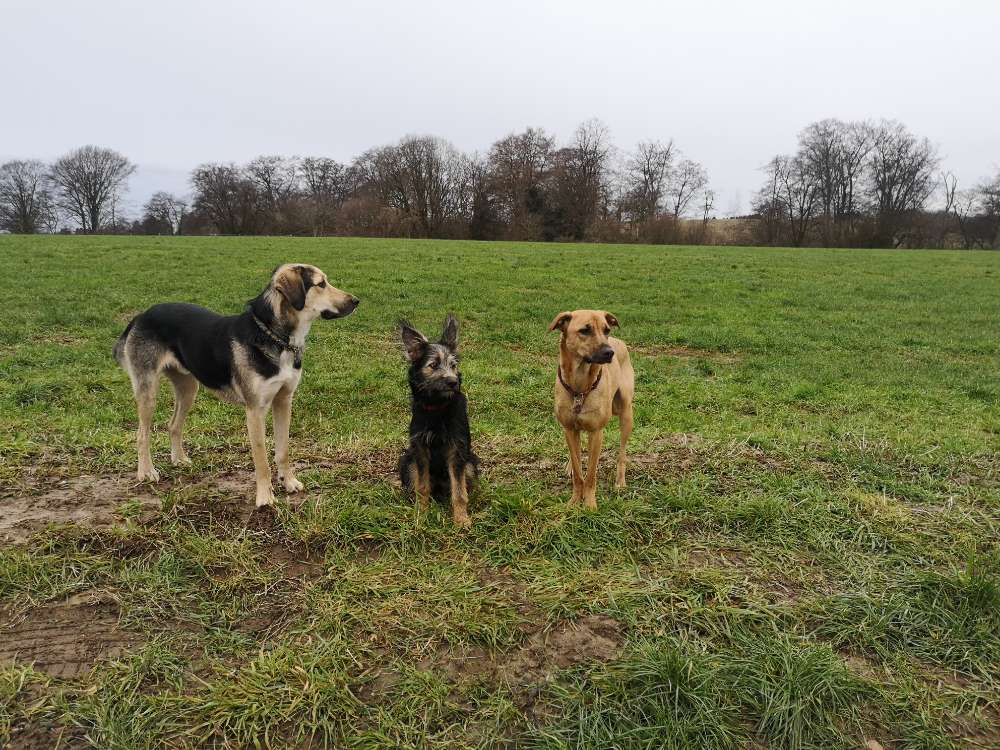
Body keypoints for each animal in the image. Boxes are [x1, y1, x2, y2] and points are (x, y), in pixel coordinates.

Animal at [114, 266, 360, 512]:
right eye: (321, 284)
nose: (356, 301)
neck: (276, 337)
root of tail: (141, 316)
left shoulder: (284, 400)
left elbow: (283, 450)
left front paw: (289, 482)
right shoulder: (255, 410)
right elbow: (262, 459)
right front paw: (265, 498)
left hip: (188, 388)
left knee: (174, 424)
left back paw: (179, 460)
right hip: (148, 390)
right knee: (142, 434)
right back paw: (146, 472)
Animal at [396, 318, 478, 528]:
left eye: (453, 365)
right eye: (433, 365)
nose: (453, 382)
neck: (437, 407)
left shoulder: (457, 450)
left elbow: (459, 491)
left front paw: (461, 519)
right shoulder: (420, 448)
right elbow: (422, 486)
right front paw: (422, 514)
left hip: (471, 463)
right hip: (407, 461)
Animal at [552, 308, 636, 508]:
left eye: (606, 330)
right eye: (584, 330)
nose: (609, 352)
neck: (580, 384)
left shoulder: (596, 432)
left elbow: (590, 474)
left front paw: (589, 504)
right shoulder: (569, 428)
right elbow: (578, 469)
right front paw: (575, 501)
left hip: (626, 413)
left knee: (622, 453)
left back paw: (620, 481)